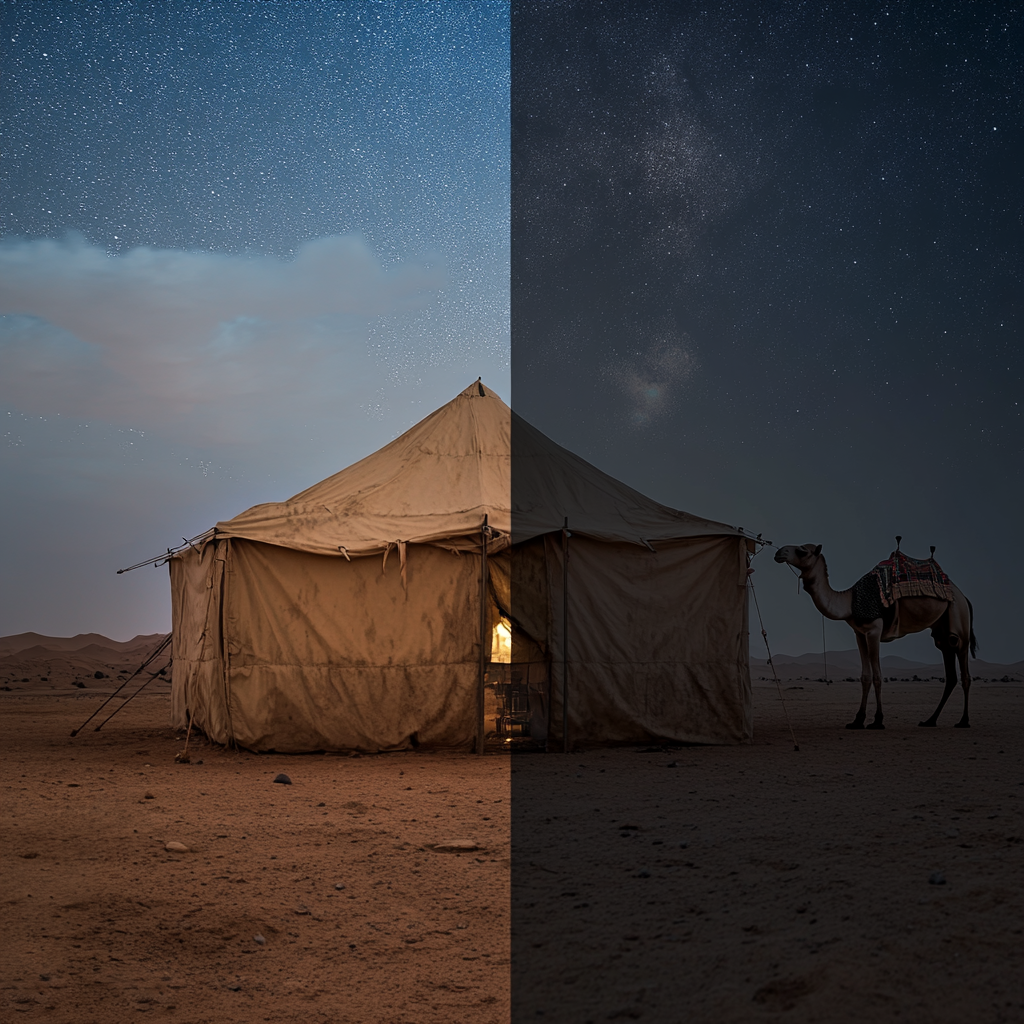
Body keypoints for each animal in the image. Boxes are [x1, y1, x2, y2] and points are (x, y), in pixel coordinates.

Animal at [774, 544, 974, 729]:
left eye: (802, 551)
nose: (779, 552)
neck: (849, 602)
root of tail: (964, 597)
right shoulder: (859, 633)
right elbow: (865, 676)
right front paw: (857, 720)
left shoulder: (874, 631)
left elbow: (877, 676)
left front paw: (878, 720)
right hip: (942, 634)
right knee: (950, 674)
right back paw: (930, 721)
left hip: (960, 623)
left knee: (965, 673)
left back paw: (963, 721)